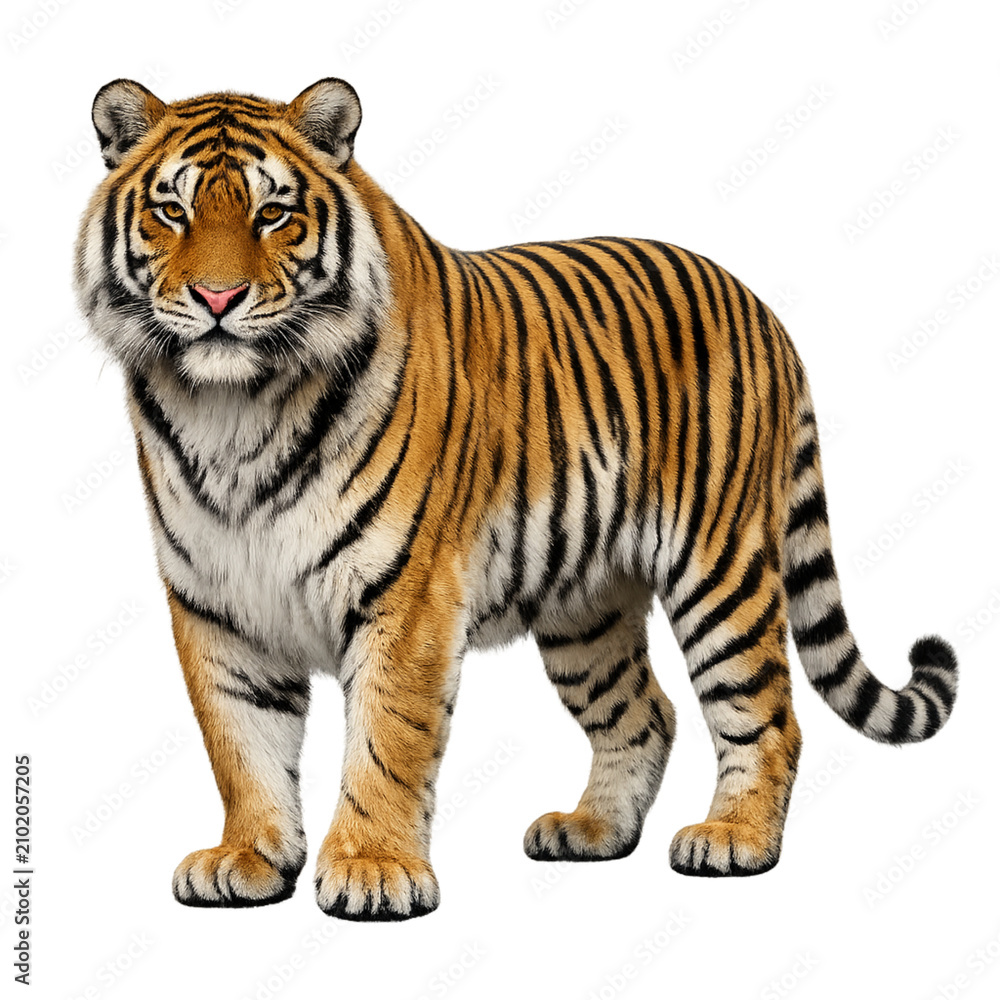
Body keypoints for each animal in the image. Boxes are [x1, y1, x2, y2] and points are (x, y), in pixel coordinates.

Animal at [74, 77, 958, 921]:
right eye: (172, 210)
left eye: (273, 214)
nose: (218, 299)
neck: (232, 412)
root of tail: (760, 306)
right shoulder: (216, 602)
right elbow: (240, 742)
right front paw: (248, 857)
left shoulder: (408, 596)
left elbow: (386, 740)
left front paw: (372, 870)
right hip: (585, 607)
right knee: (647, 713)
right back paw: (592, 830)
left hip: (721, 569)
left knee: (768, 713)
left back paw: (735, 839)